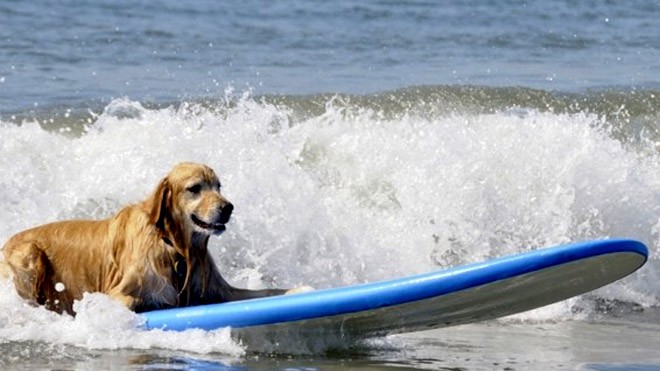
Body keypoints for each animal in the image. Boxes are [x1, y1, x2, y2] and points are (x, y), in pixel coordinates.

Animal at [1, 163, 306, 316]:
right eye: (195, 188)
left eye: (218, 186)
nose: (228, 207)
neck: (174, 246)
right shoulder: (117, 293)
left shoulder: (220, 291)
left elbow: (267, 292)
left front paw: (298, 289)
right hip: (28, 253)